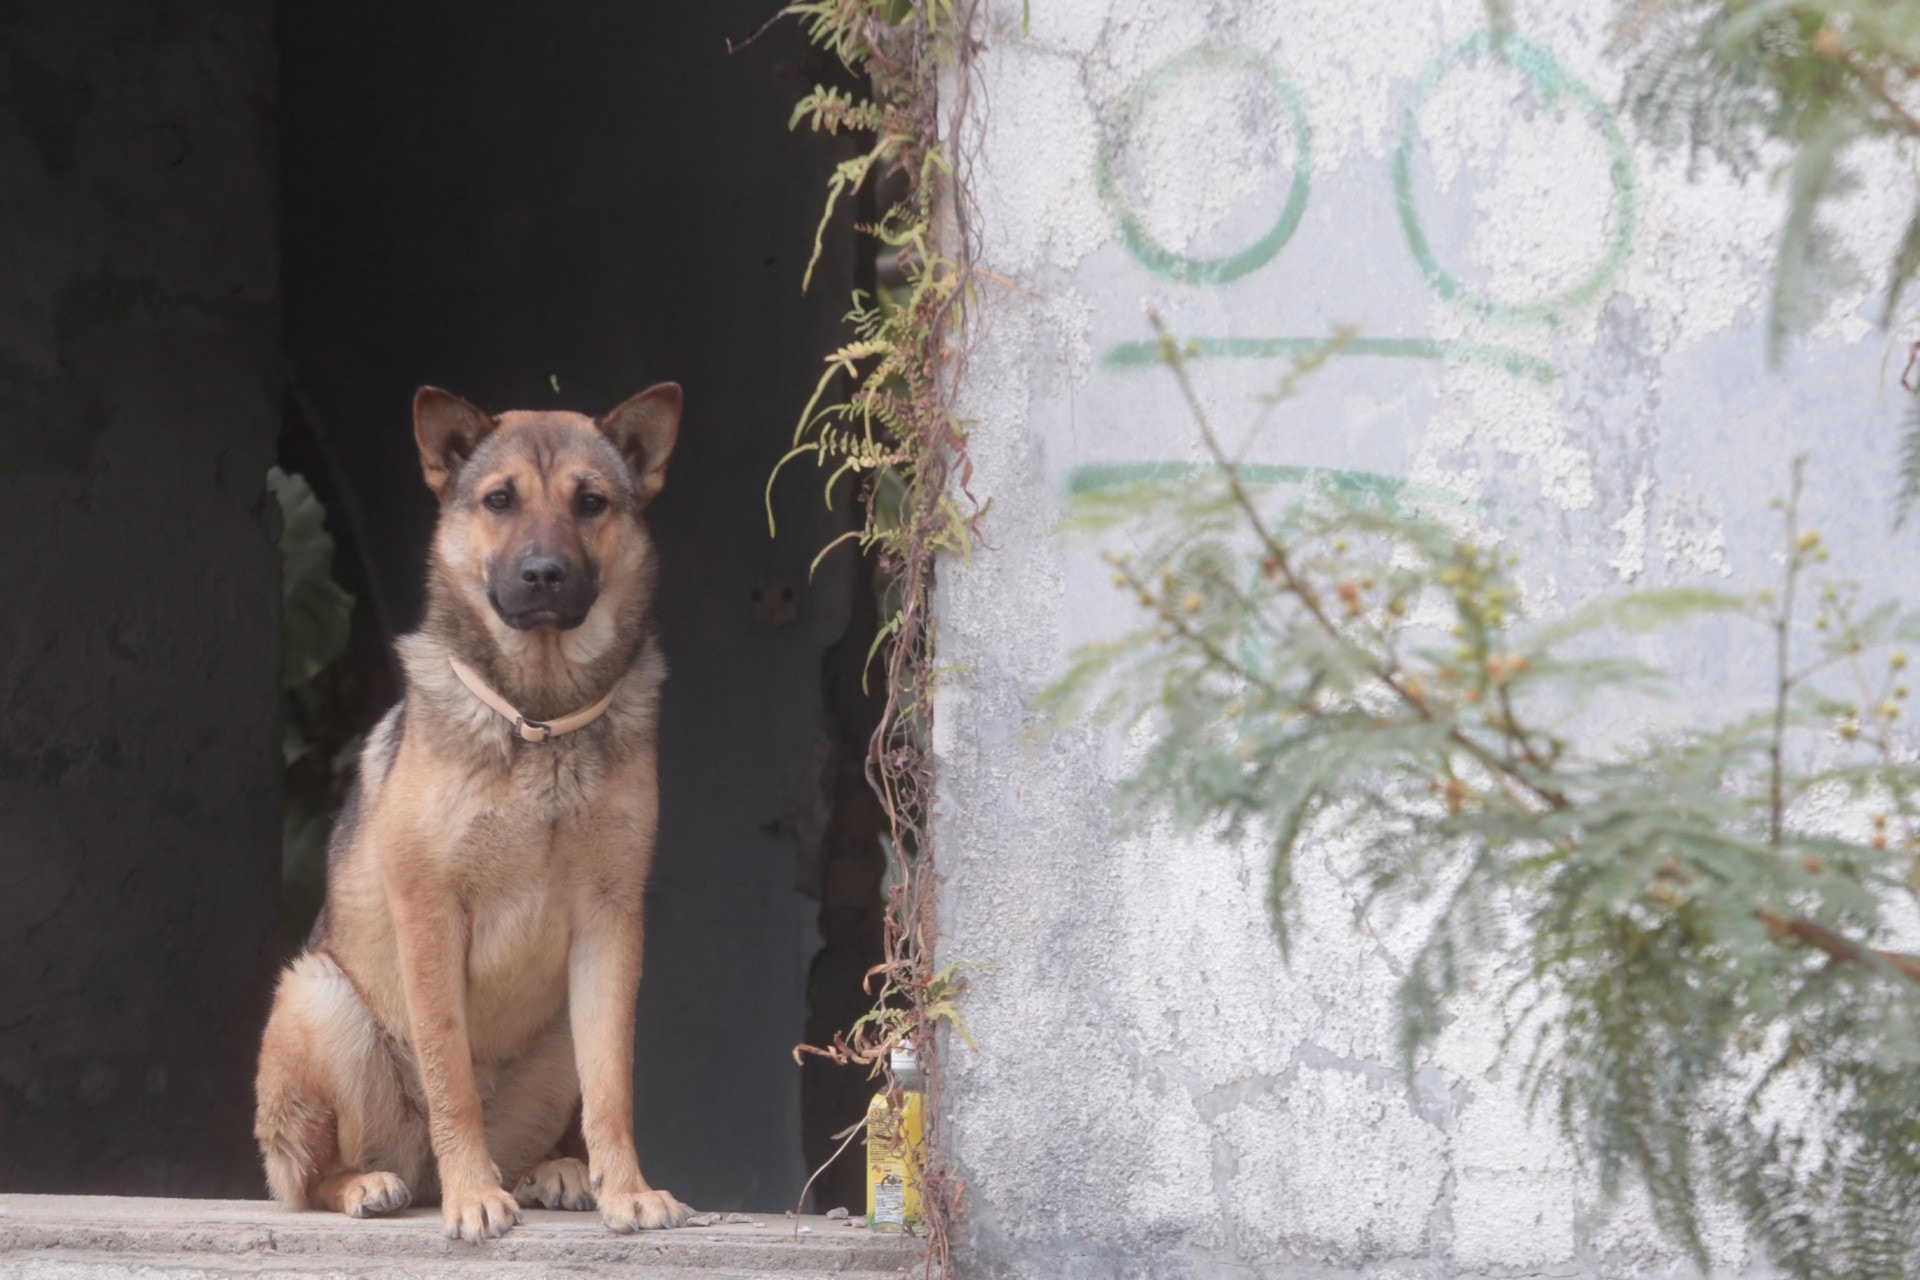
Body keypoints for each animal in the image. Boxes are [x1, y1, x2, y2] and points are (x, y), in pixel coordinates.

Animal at [253, 383, 691, 1243]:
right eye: (499, 501)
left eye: (591, 502)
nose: (544, 573)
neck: (540, 718)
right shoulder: (431, 914)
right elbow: (449, 1074)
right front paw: (472, 1197)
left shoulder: (611, 921)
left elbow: (612, 1084)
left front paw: (626, 1191)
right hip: (319, 996)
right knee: (312, 1175)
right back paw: (375, 1183)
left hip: (554, 1034)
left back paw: (552, 1171)